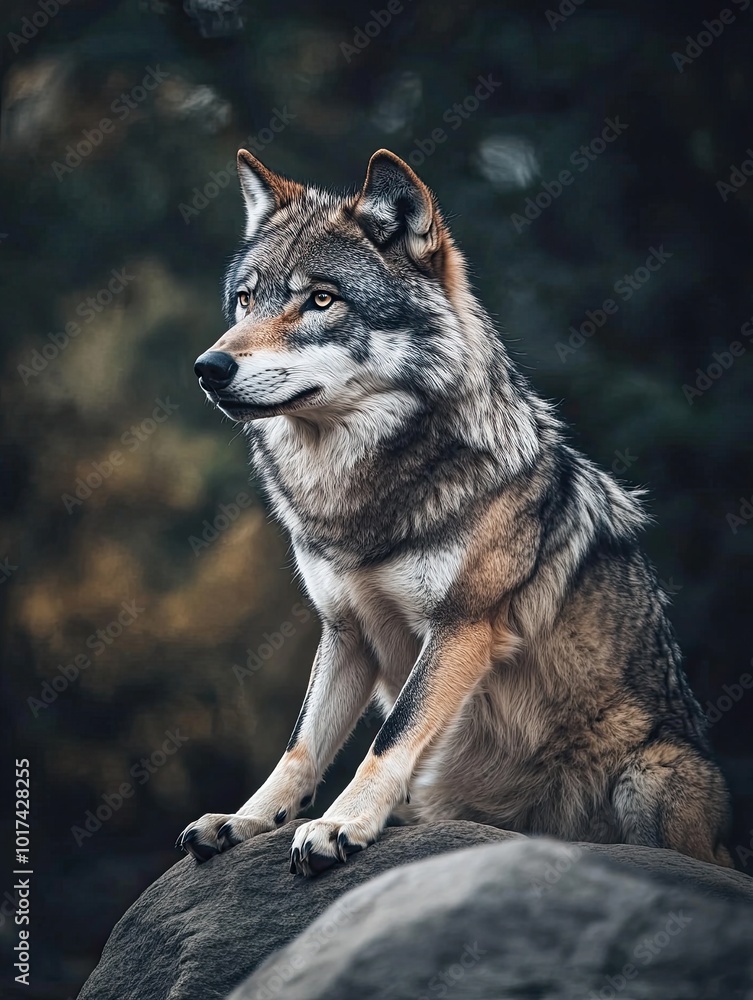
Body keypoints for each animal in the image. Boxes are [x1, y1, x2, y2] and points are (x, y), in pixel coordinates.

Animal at [178, 148, 731, 874]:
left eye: (321, 299)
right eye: (245, 300)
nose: (208, 366)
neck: (358, 501)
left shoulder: (462, 626)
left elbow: (393, 733)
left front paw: (340, 824)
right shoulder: (345, 633)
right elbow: (301, 746)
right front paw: (243, 820)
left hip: (650, 777)